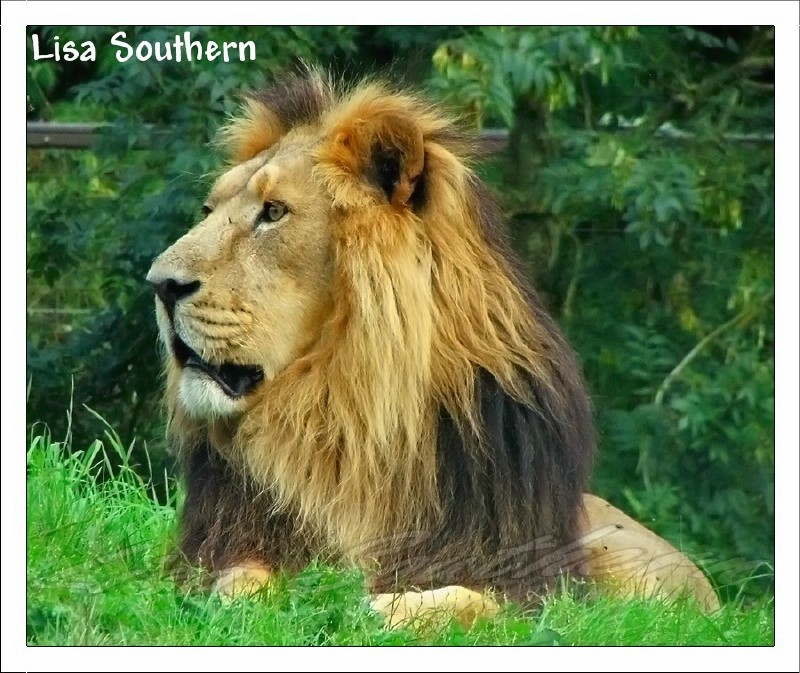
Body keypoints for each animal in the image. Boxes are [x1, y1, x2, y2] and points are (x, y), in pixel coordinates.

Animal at [146, 68, 719, 628]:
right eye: (208, 209)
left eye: (273, 212)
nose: (160, 284)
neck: (342, 411)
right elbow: (242, 578)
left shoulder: (527, 582)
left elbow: (467, 602)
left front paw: (362, 606)